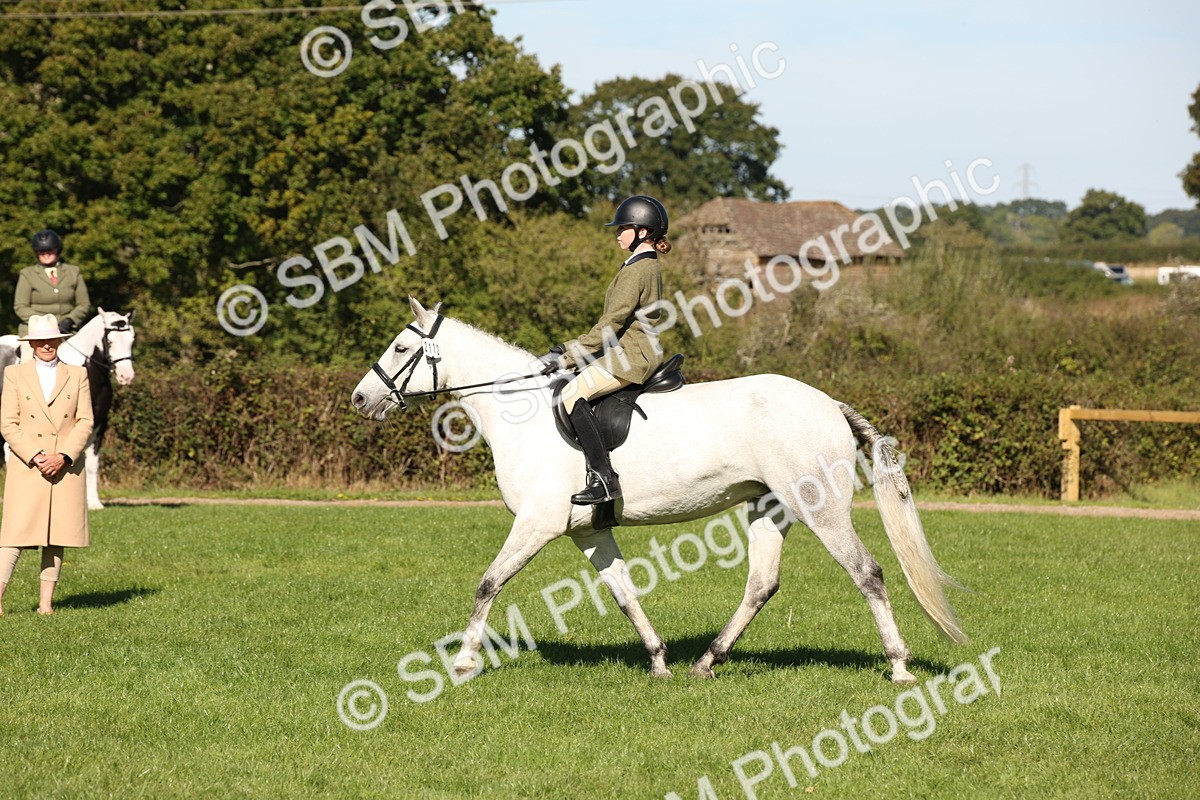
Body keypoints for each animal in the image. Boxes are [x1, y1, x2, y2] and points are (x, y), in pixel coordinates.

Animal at [0, 309, 136, 510]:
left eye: (132, 339)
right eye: (109, 341)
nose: (126, 376)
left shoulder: (98, 424)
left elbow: (92, 463)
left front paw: (94, 502)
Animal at [351, 299, 966, 682]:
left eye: (401, 347)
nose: (360, 399)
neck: (518, 413)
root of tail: (827, 403)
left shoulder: (536, 524)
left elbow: (488, 583)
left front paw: (462, 663)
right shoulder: (586, 533)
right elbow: (624, 593)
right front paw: (659, 661)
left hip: (820, 508)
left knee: (868, 573)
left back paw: (899, 666)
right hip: (768, 507)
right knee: (762, 584)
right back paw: (706, 662)